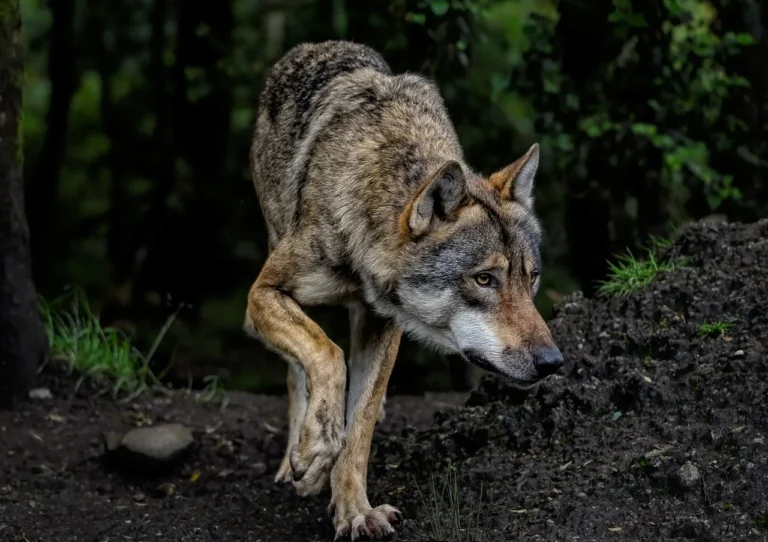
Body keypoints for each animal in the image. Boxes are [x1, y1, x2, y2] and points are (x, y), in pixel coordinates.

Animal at [246, 40, 564, 540]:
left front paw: (355, 511)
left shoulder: (384, 324)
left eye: (529, 278)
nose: (553, 362)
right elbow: (327, 355)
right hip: (274, 247)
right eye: (484, 279)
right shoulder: (264, 292)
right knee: (298, 370)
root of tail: (312, 48)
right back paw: (298, 456)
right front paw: (315, 449)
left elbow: (360, 426)